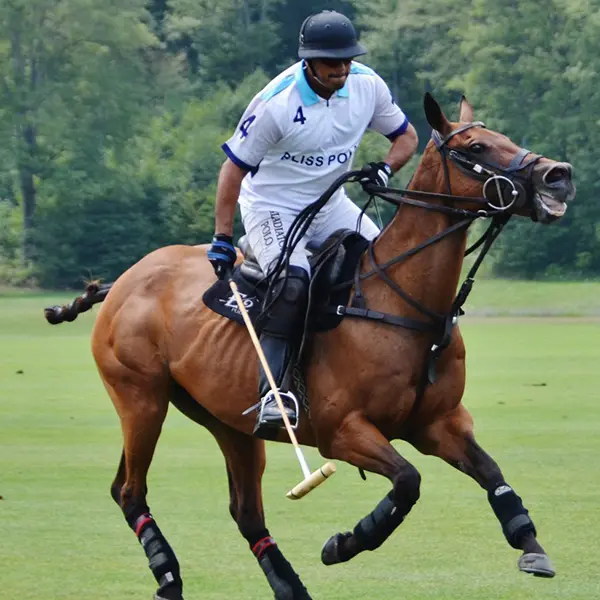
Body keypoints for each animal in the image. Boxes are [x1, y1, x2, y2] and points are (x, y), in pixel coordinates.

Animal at [45, 95, 572, 600]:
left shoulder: (439, 423)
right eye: (476, 147)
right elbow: (408, 481)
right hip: (141, 398)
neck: (405, 305)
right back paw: (169, 577)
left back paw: (290, 587)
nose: (558, 175)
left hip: (226, 421)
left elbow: (489, 470)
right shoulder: (343, 432)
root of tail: (121, 282)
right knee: (129, 490)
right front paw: (346, 542)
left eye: (503, 136)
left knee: (245, 512)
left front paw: (531, 546)